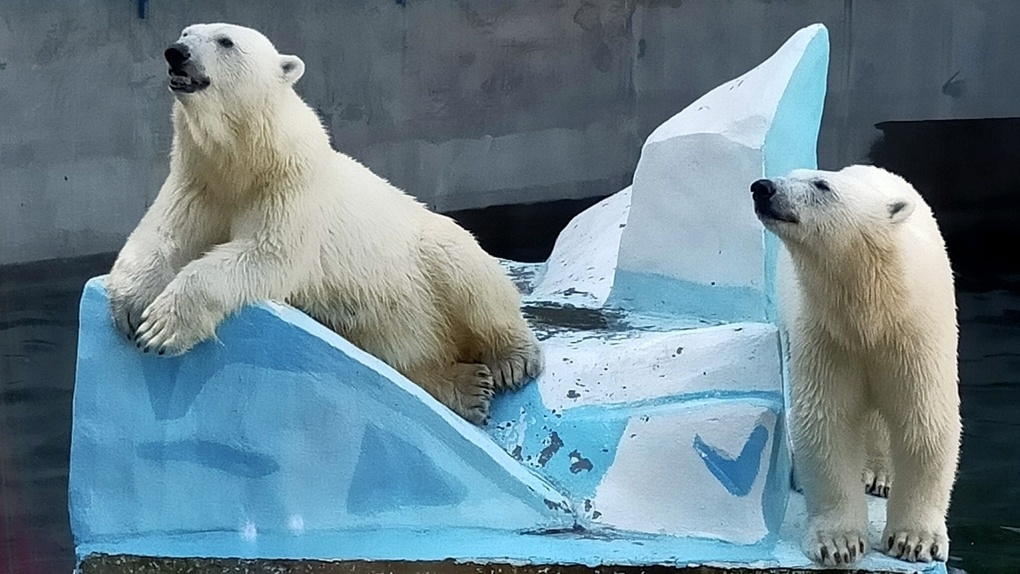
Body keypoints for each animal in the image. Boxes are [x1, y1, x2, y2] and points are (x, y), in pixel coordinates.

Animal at [107, 23, 546, 426]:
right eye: (186, 32)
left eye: (225, 41)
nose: (176, 52)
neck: (245, 158)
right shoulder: (198, 182)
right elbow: (163, 234)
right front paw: (129, 305)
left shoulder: (291, 185)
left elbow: (266, 253)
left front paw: (162, 327)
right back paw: (467, 388)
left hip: (424, 254)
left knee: (464, 269)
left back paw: (511, 359)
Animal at [754, 165, 958, 566]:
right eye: (791, 174)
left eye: (821, 185)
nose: (762, 188)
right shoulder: (826, 338)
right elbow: (827, 423)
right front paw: (839, 543)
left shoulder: (916, 335)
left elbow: (925, 421)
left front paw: (915, 541)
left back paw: (881, 475)